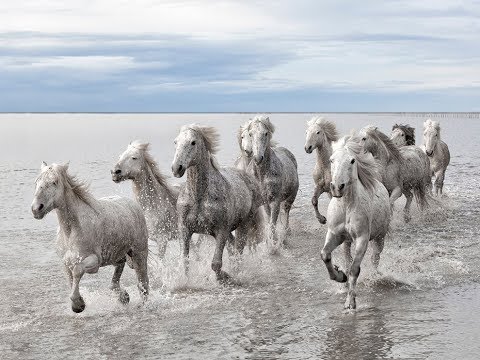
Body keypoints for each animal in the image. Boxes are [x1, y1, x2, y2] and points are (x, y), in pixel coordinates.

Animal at [31, 163, 148, 312]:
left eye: (54, 182)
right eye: (36, 182)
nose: (36, 209)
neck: (71, 231)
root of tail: (132, 204)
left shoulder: (94, 261)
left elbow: (77, 270)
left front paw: (78, 305)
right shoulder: (66, 262)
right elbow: (71, 279)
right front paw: (78, 302)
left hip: (139, 253)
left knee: (143, 283)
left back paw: (142, 304)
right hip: (116, 255)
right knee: (118, 272)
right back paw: (123, 297)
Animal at [172, 124, 262, 284]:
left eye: (193, 142)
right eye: (176, 142)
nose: (177, 168)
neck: (198, 197)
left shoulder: (221, 230)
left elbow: (215, 264)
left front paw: (224, 276)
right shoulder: (185, 229)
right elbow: (184, 261)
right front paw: (186, 281)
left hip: (243, 224)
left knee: (239, 249)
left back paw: (236, 273)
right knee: (233, 247)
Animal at [246, 115, 298, 250]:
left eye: (265, 133)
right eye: (250, 134)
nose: (258, 158)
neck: (262, 175)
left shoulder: (275, 200)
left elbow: (273, 222)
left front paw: (273, 245)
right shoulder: (265, 200)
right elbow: (270, 219)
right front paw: (269, 242)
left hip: (290, 197)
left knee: (286, 212)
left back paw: (286, 233)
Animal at [318, 136, 390, 310]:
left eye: (352, 160)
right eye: (331, 160)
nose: (337, 187)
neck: (346, 207)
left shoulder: (362, 239)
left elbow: (354, 269)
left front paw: (350, 303)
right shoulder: (334, 234)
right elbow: (325, 255)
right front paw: (340, 276)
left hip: (380, 237)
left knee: (375, 258)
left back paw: (373, 278)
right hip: (346, 241)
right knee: (347, 258)